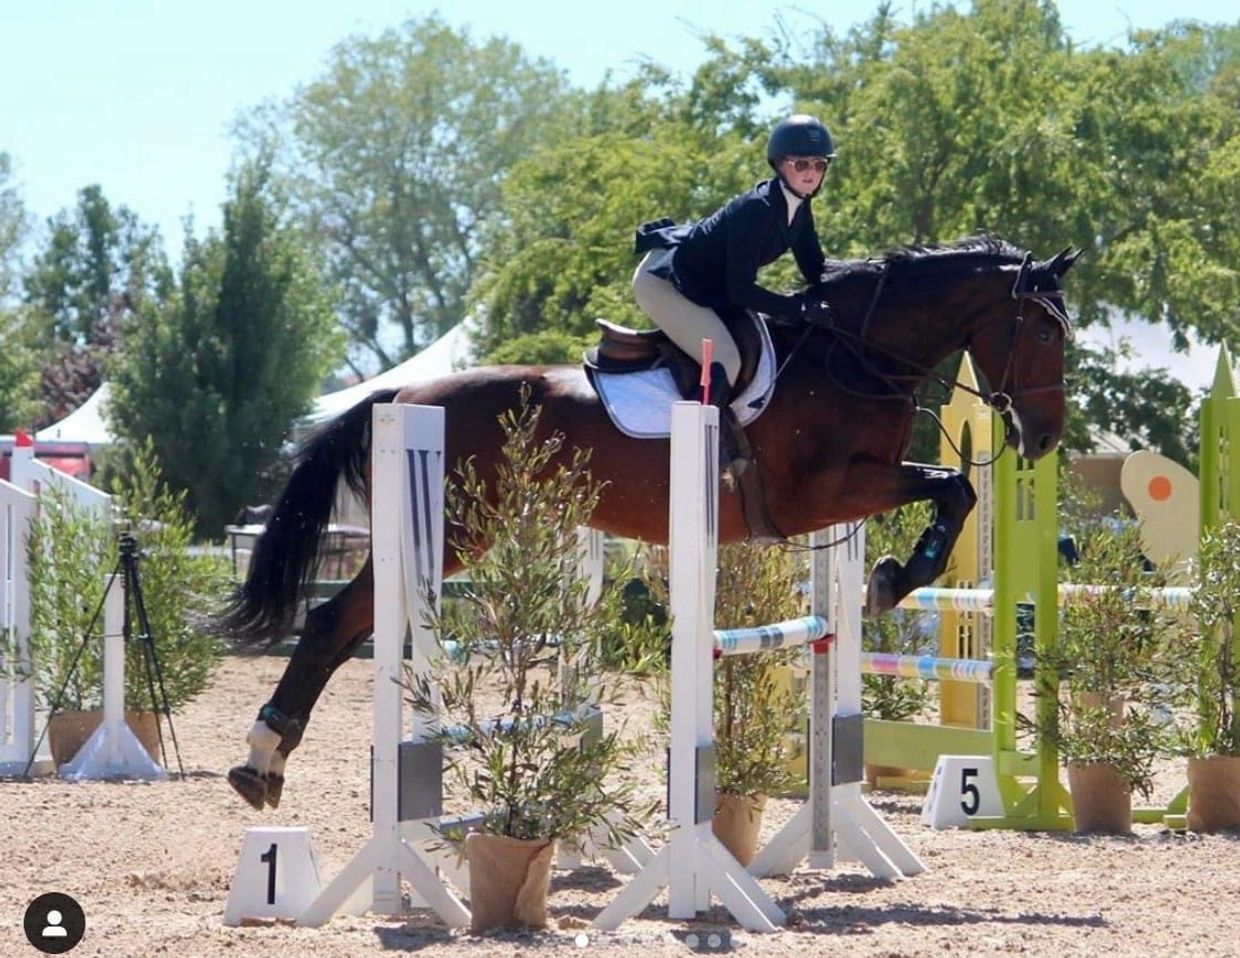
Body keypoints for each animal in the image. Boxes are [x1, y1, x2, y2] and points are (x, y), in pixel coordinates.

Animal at [220, 235, 1079, 810]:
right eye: (1042, 331)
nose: (1043, 439)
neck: (851, 356)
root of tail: (400, 395)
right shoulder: (820, 494)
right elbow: (953, 489)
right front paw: (895, 579)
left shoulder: (848, 490)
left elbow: (952, 492)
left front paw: (890, 578)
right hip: (453, 533)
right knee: (334, 621)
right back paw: (260, 761)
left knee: (346, 625)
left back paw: (266, 764)